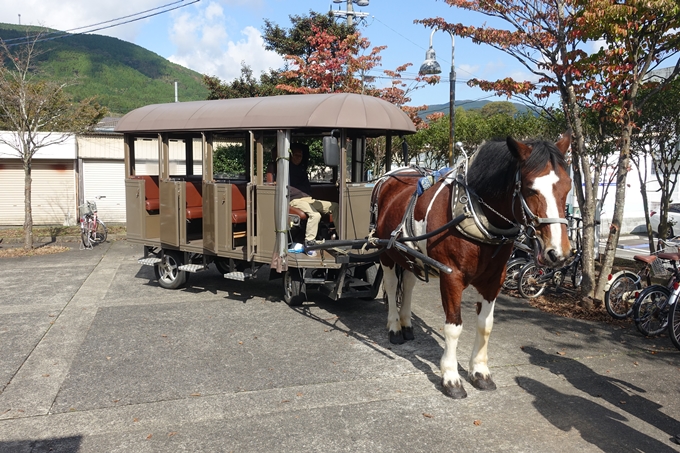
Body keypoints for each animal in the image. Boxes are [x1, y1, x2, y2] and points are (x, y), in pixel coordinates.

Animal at [374, 132, 572, 398]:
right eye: (530, 189)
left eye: (568, 187)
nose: (558, 252)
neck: (475, 213)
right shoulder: (451, 276)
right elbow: (454, 326)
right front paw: (451, 378)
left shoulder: (494, 279)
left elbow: (485, 325)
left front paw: (480, 372)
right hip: (386, 250)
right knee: (391, 282)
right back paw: (395, 327)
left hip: (410, 254)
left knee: (408, 282)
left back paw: (406, 324)